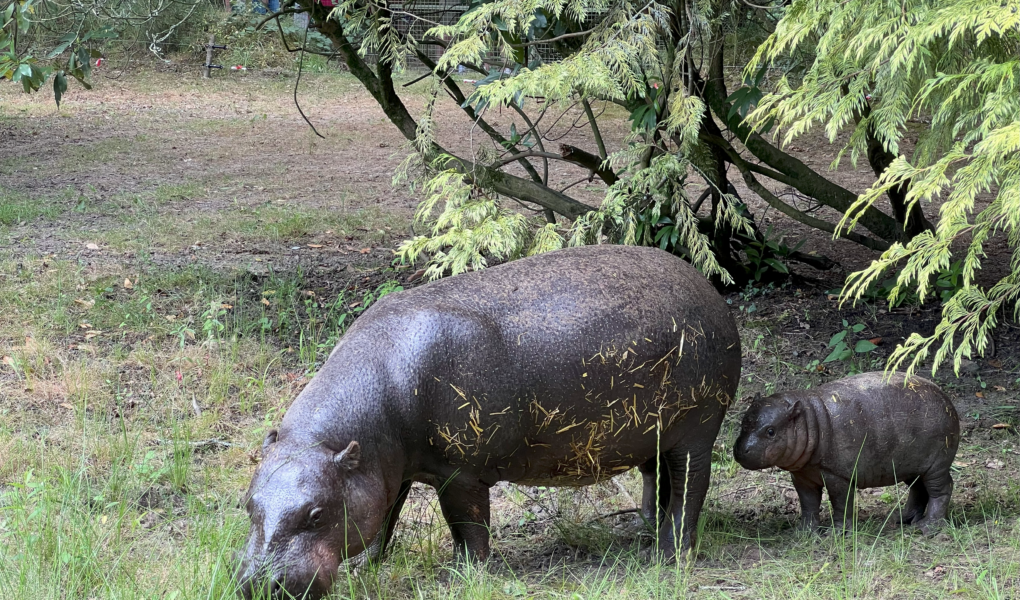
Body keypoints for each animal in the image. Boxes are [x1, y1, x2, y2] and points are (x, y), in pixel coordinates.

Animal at [238, 244, 742, 600]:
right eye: (247, 505)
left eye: (316, 514)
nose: (259, 585)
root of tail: (706, 285)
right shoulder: (384, 470)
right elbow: (383, 519)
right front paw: (368, 566)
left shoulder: (459, 472)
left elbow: (467, 525)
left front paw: (463, 574)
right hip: (650, 433)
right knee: (657, 478)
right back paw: (643, 531)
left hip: (698, 428)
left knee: (690, 487)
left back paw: (667, 555)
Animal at [734, 369, 954, 534]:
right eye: (744, 421)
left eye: (771, 431)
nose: (741, 450)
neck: (808, 420)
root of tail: (946, 398)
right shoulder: (802, 475)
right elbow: (808, 504)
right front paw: (804, 532)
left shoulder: (838, 476)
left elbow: (841, 503)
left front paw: (836, 532)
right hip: (910, 466)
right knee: (918, 489)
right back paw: (902, 520)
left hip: (936, 465)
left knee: (941, 489)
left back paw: (927, 527)